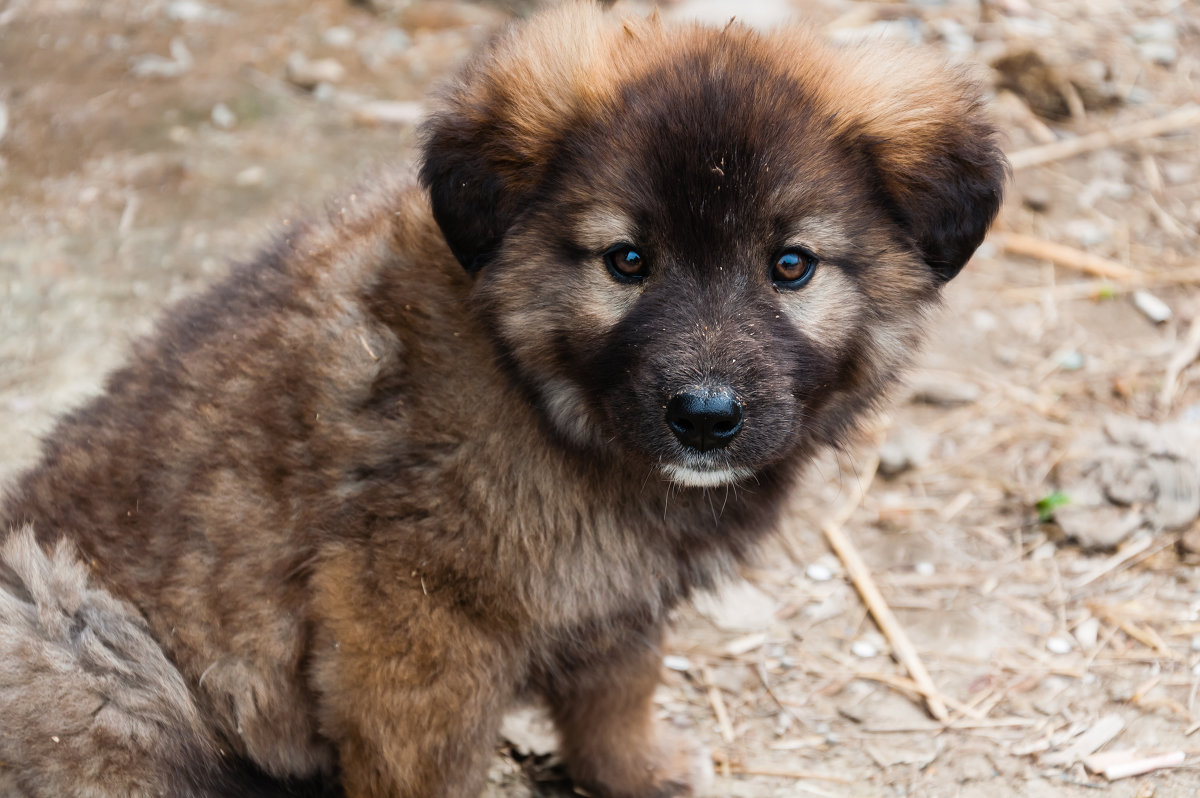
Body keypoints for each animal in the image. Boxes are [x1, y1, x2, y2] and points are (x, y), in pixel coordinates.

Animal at [0, 3, 1008, 792]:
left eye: (791, 265)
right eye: (626, 260)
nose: (705, 417)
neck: (536, 388)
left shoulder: (617, 599)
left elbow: (616, 700)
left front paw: (642, 773)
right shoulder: (410, 626)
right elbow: (435, 765)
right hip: (66, 631)